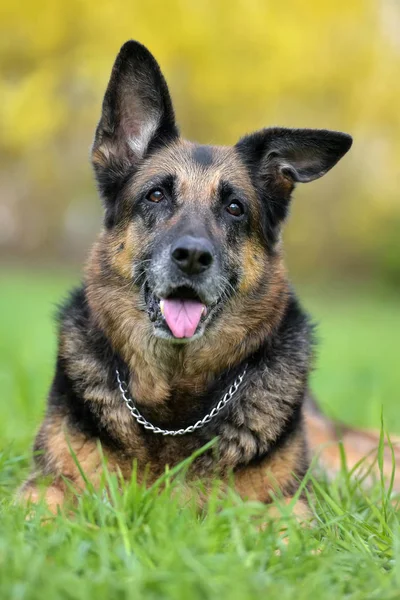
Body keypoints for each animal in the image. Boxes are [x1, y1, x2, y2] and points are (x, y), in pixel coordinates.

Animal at [21, 39, 400, 512]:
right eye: (156, 195)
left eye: (234, 208)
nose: (192, 257)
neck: (174, 404)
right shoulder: (42, 486)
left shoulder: (290, 503)